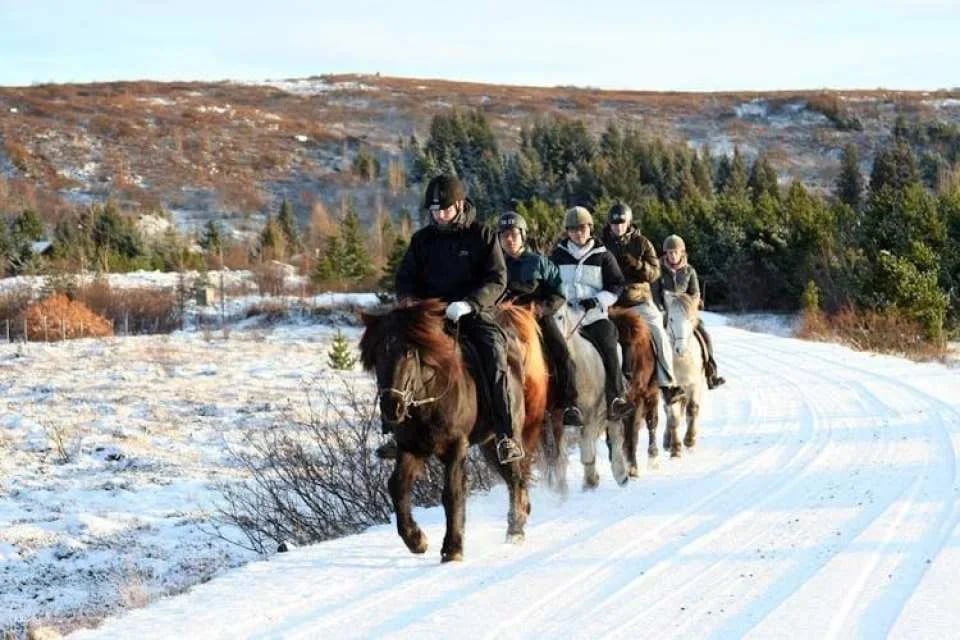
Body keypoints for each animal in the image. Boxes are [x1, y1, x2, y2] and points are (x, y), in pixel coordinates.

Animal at [359, 299, 549, 562]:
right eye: (377, 354)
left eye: (408, 352)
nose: (392, 407)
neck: (428, 400)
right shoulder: (411, 448)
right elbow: (397, 486)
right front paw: (416, 540)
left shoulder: (456, 447)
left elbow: (452, 493)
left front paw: (452, 549)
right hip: (489, 445)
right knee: (512, 477)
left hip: (508, 435)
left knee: (515, 476)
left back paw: (516, 529)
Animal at [543, 304, 629, 492]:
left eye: (560, 317)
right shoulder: (557, 420)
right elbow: (560, 456)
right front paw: (561, 488)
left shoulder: (590, 415)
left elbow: (587, 452)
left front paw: (590, 483)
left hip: (611, 409)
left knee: (615, 435)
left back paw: (621, 475)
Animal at [609, 308, 660, 476]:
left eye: (632, 344)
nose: (628, 374)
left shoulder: (637, 399)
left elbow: (633, 433)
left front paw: (632, 468)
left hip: (651, 396)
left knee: (652, 423)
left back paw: (653, 458)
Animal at [661, 291, 707, 456]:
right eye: (671, 319)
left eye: (690, 319)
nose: (680, 349)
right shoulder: (669, 390)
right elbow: (673, 417)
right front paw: (675, 448)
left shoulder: (694, 384)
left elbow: (692, 409)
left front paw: (690, 439)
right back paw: (667, 441)